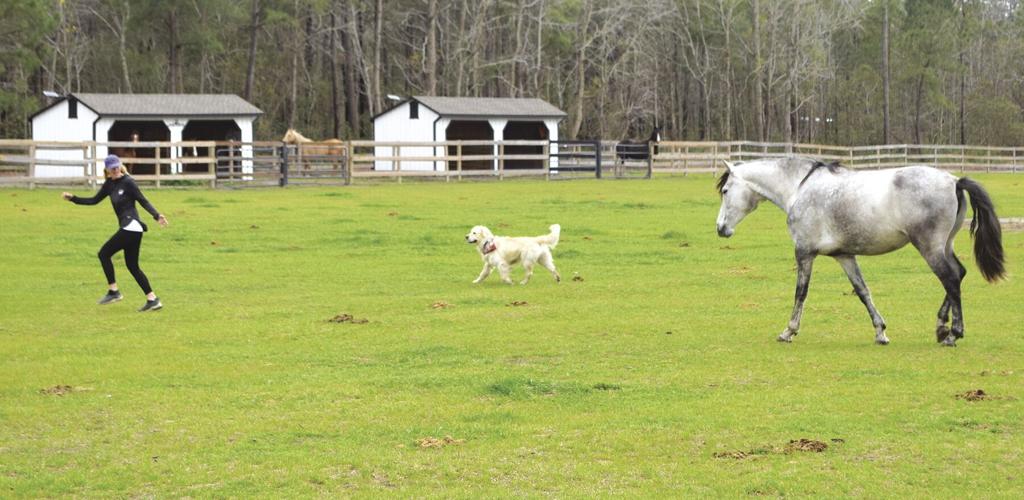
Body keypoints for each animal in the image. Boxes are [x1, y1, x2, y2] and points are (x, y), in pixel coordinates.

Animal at [715, 157, 1005, 346]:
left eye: (726, 191)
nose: (720, 228)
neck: (799, 188)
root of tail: (954, 180)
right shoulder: (844, 256)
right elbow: (863, 291)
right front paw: (881, 332)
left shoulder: (804, 253)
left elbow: (801, 293)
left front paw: (789, 331)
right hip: (944, 246)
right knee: (958, 274)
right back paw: (941, 328)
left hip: (930, 248)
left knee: (951, 279)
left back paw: (953, 333)